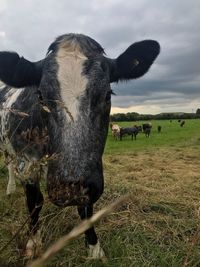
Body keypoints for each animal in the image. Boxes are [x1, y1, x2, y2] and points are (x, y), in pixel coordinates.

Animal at [0, 33, 159, 260]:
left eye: (108, 94)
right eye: (40, 96)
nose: (69, 187)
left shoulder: (89, 173)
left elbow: (86, 210)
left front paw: (94, 248)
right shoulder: (27, 163)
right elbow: (34, 202)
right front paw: (33, 243)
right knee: (10, 166)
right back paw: (11, 188)